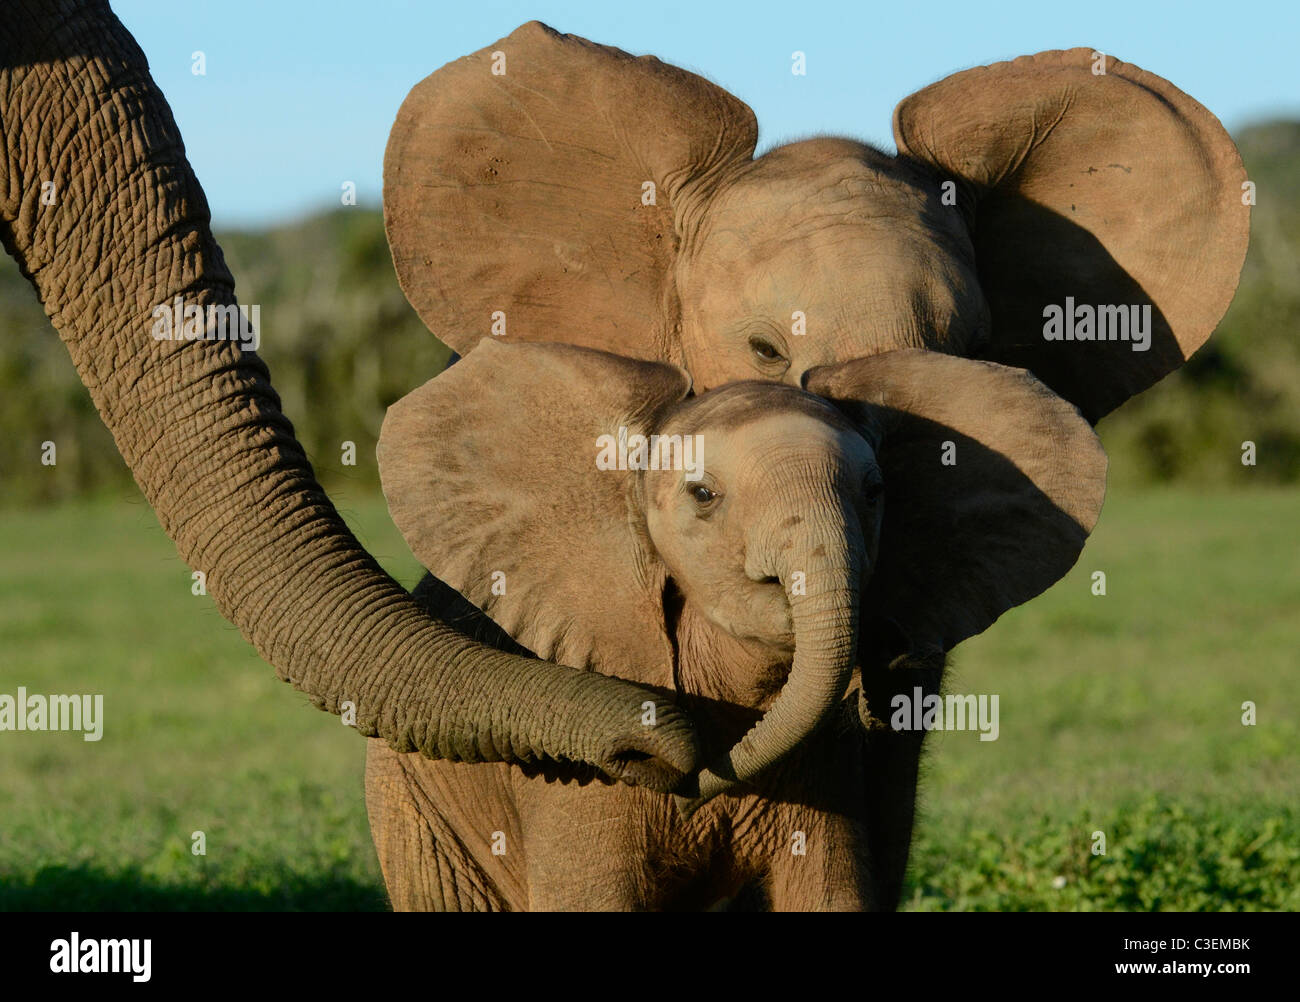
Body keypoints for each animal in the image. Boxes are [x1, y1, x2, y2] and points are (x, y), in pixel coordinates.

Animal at [366, 340, 1107, 914]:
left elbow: (830, 894)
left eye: (875, 493)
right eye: (703, 495)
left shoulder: (825, 764)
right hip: (411, 806)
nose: (674, 767)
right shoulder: (568, 783)